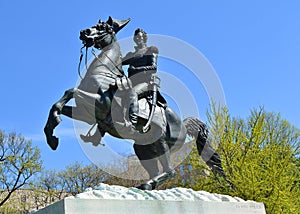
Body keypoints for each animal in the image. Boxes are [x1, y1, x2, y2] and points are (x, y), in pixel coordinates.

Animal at [43, 17, 224, 191]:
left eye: (103, 27)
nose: (84, 32)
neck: (105, 72)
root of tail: (184, 125)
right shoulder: (86, 113)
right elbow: (57, 105)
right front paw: (51, 137)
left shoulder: (100, 103)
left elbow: (70, 91)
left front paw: (53, 131)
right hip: (143, 148)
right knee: (155, 170)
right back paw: (146, 185)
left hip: (161, 143)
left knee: (170, 170)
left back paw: (147, 184)